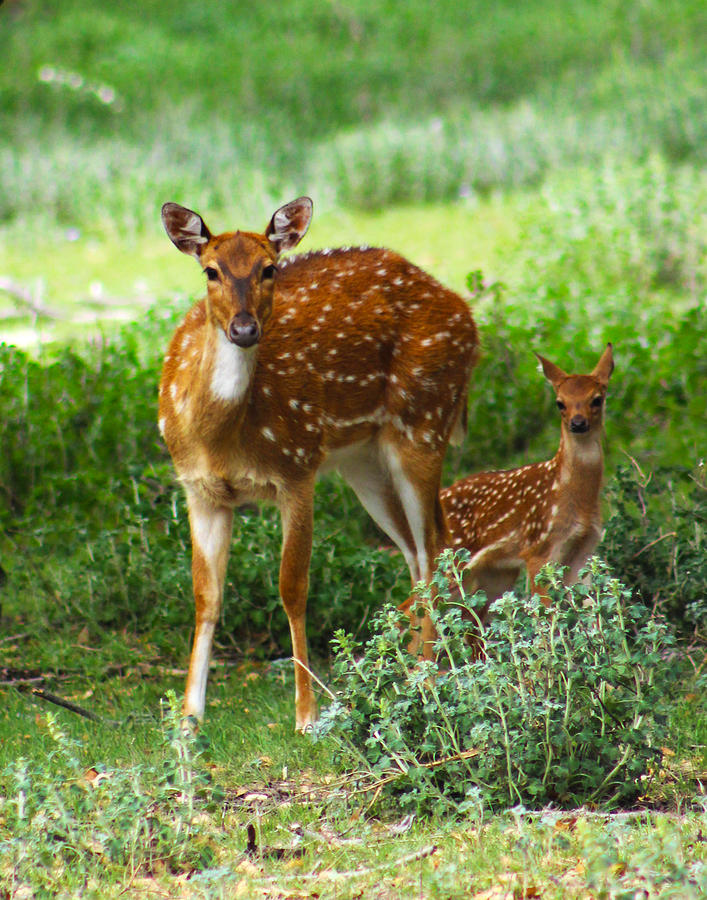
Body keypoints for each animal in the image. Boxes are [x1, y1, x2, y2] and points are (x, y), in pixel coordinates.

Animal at [159, 199, 482, 732]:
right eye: (210, 270)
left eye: (270, 268)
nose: (244, 329)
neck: (221, 441)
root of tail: (468, 316)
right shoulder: (199, 490)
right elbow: (206, 597)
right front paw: (187, 720)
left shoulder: (298, 465)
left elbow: (292, 588)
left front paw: (307, 715)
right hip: (363, 461)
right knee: (416, 551)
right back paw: (420, 670)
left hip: (422, 423)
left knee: (436, 543)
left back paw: (427, 674)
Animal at [442, 344, 612, 612]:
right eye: (560, 403)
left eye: (597, 399)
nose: (577, 423)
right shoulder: (539, 549)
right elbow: (546, 611)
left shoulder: (584, 548)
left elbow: (589, 607)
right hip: (450, 561)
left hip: (495, 573)